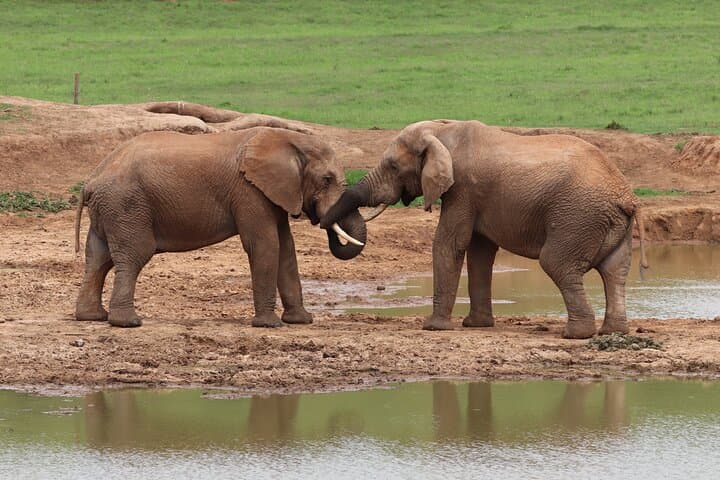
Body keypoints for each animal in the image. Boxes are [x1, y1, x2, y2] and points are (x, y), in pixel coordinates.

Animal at [74, 127, 366, 328]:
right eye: (327, 179)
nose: (321, 219)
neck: (287, 138)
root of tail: (91, 181)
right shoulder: (248, 191)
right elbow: (265, 244)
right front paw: (269, 325)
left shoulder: (273, 192)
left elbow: (286, 247)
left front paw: (301, 320)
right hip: (126, 206)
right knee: (133, 256)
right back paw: (128, 322)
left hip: (110, 210)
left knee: (98, 259)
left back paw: (91, 317)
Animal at [322, 120, 648, 339]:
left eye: (392, 166)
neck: (442, 130)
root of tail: (627, 197)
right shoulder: (476, 197)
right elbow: (479, 251)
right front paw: (475, 325)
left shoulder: (463, 189)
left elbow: (449, 244)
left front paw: (433, 327)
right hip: (606, 223)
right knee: (614, 271)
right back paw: (612, 332)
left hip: (577, 217)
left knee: (556, 263)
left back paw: (575, 334)